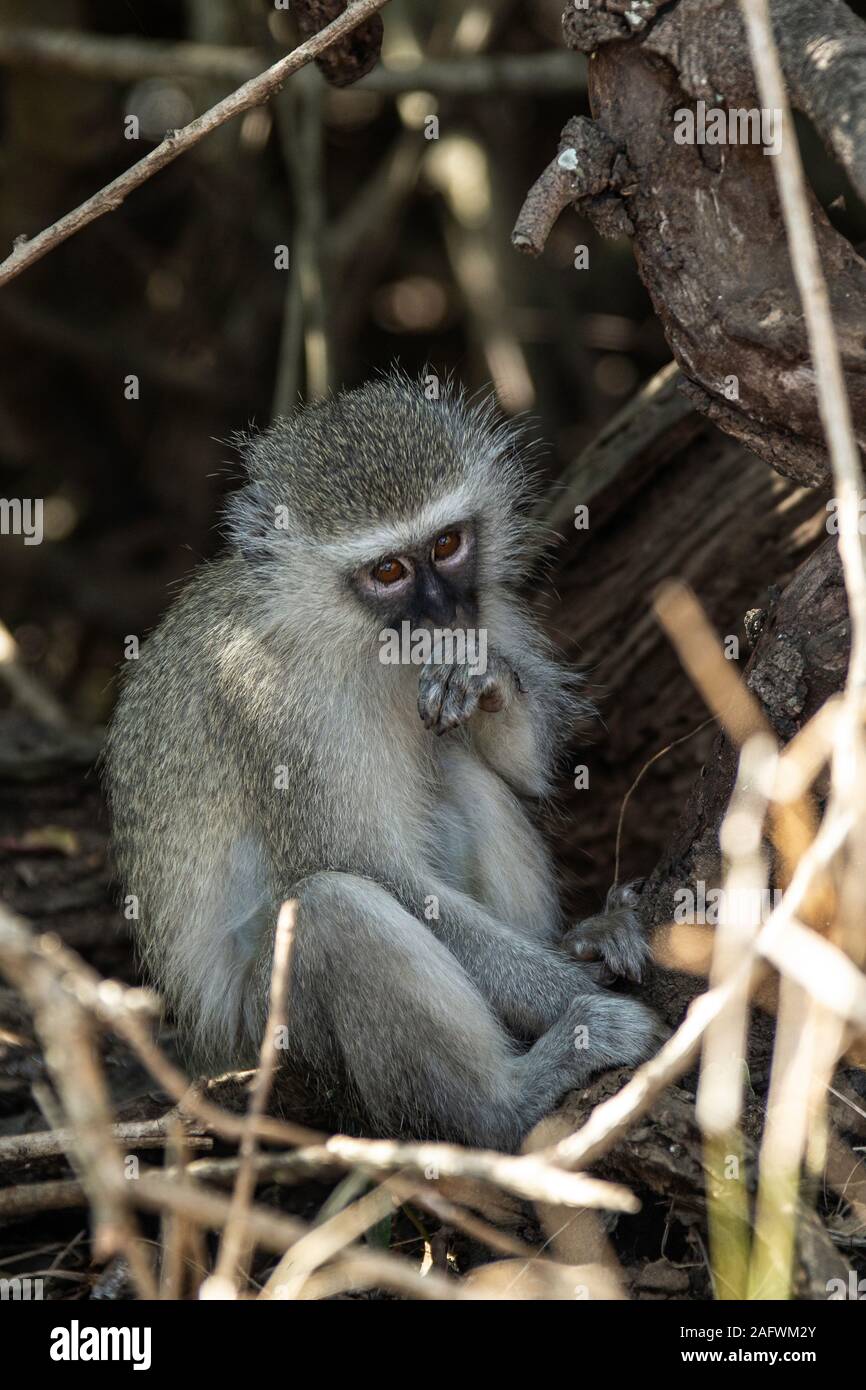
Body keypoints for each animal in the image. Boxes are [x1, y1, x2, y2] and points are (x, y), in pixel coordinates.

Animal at [104, 375, 661, 1145]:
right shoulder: (276, 704)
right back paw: (507, 1101)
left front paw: (483, 678)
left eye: (449, 543)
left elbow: (523, 772)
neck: (360, 644)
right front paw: (571, 992)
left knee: (464, 779)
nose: (446, 615)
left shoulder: (489, 610)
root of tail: (207, 1057)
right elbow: (368, 867)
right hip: (280, 1046)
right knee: (331, 910)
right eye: (389, 571)